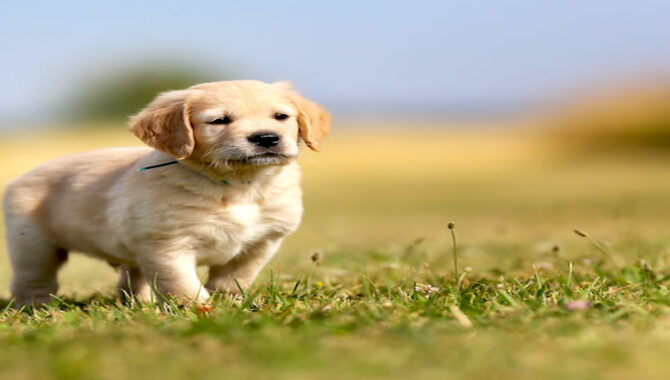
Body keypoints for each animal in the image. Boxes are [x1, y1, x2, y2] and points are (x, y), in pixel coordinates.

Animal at [1, 80, 330, 306]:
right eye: (220, 120)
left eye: (281, 117)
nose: (266, 138)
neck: (237, 186)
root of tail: (19, 179)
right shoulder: (167, 245)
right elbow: (183, 284)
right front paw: (200, 310)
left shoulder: (262, 241)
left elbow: (234, 278)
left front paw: (229, 303)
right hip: (33, 246)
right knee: (33, 281)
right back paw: (37, 309)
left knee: (131, 280)